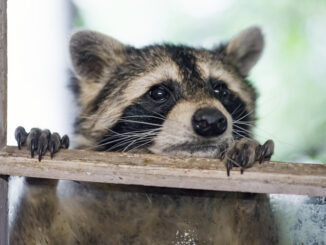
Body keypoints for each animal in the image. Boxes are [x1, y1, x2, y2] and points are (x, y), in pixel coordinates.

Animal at [10, 26, 278, 245]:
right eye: (159, 93)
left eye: (220, 89)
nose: (211, 121)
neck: (170, 194)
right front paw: (39, 183)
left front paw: (248, 193)